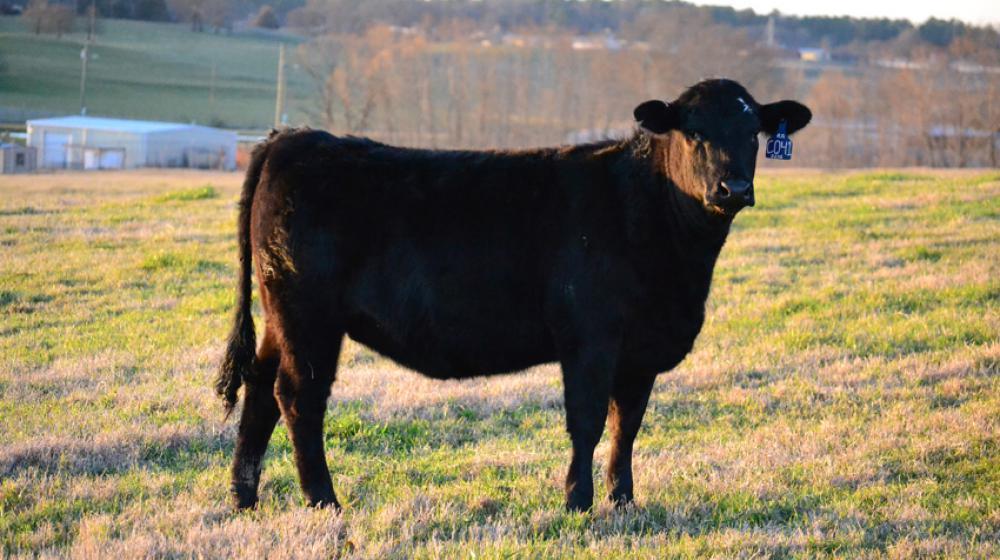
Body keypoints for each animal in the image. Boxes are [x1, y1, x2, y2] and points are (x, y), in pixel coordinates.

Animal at [217, 77, 812, 512]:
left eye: (754, 132)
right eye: (693, 131)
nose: (733, 188)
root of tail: (294, 138)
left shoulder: (641, 349)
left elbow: (628, 424)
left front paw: (622, 501)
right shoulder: (591, 338)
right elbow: (588, 420)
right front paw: (577, 502)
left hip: (282, 316)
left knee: (260, 387)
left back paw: (245, 498)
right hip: (308, 315)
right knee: (298, 396)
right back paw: (324, 503)